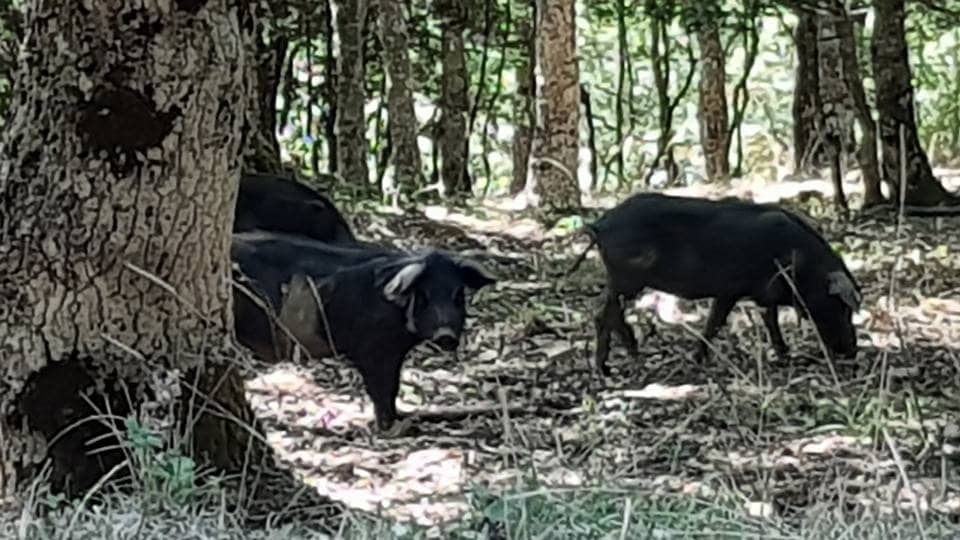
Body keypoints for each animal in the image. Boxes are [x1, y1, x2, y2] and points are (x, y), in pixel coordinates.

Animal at [231, 231, 496, 433]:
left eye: (458, 296)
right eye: (424, 296)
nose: (446, 335)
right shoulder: (372, 350)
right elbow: (382, 388)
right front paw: (393, 427)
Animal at [568, 193, 862, 375]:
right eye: (841, 306)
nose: (851, 351)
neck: (800, 262)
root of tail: (599, 224)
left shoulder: (757, 294)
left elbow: (762, 322)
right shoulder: (735, 290)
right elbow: (719, 322)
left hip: (621, 281)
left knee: (604, 314)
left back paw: (613, 365)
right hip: (627, 279)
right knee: (605, 314)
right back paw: (618, 363)